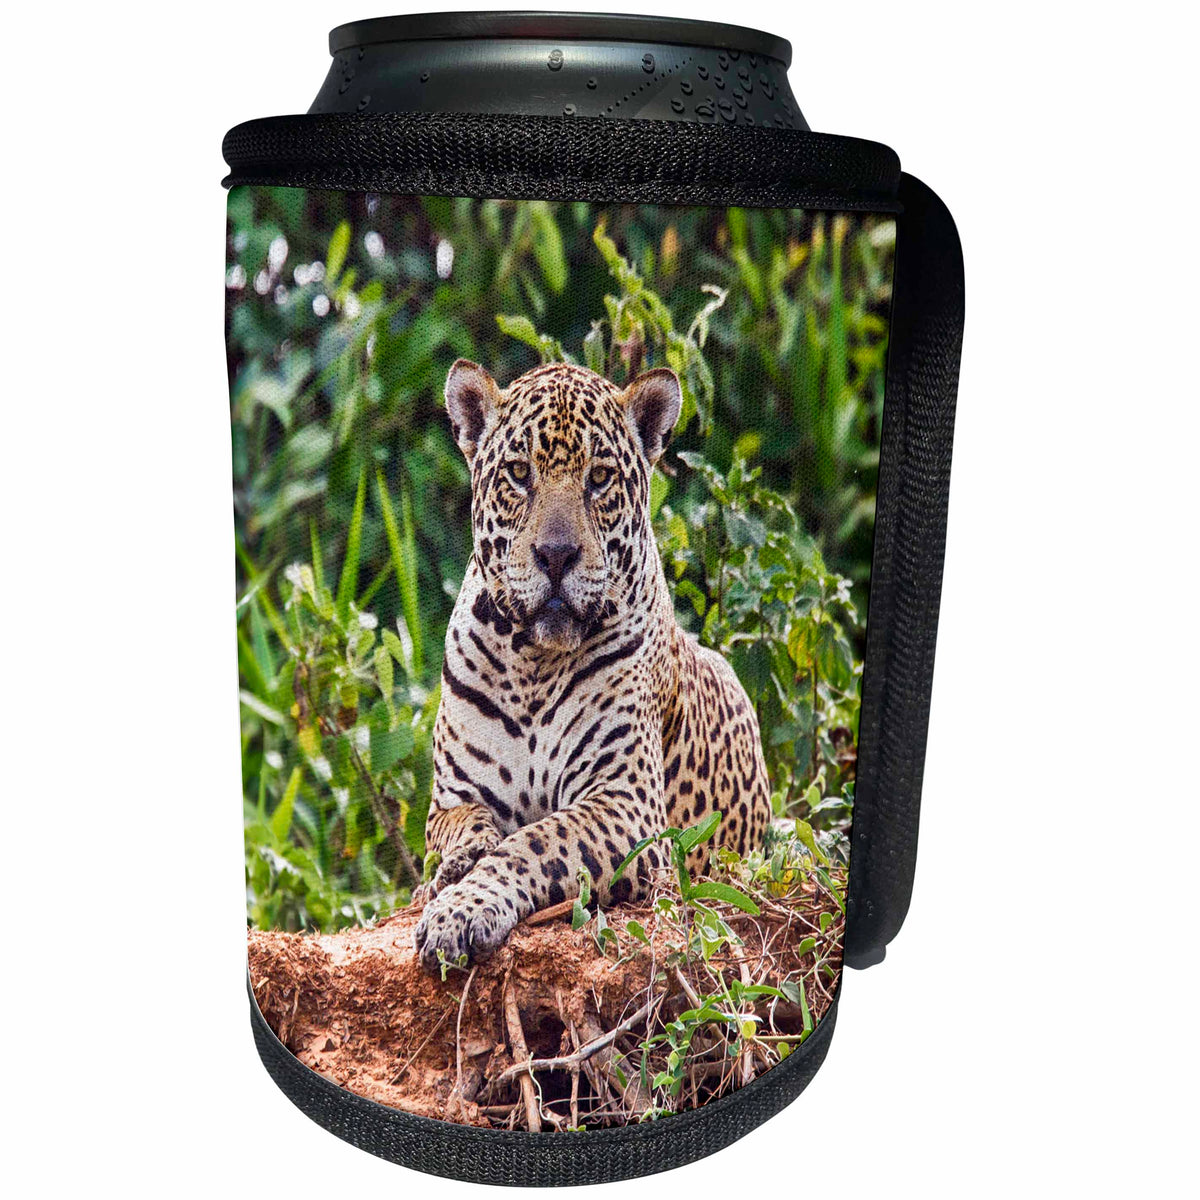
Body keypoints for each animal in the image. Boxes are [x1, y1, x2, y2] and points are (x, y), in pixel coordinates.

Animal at [413, 358, 771, 973]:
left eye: (600, 478)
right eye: (518, 473)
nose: (556, 555)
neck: (531, 663)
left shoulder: (626, 804)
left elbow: (535, 842)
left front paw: (459, 911)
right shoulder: (452, 799)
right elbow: (467, 828)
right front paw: (458, 865)